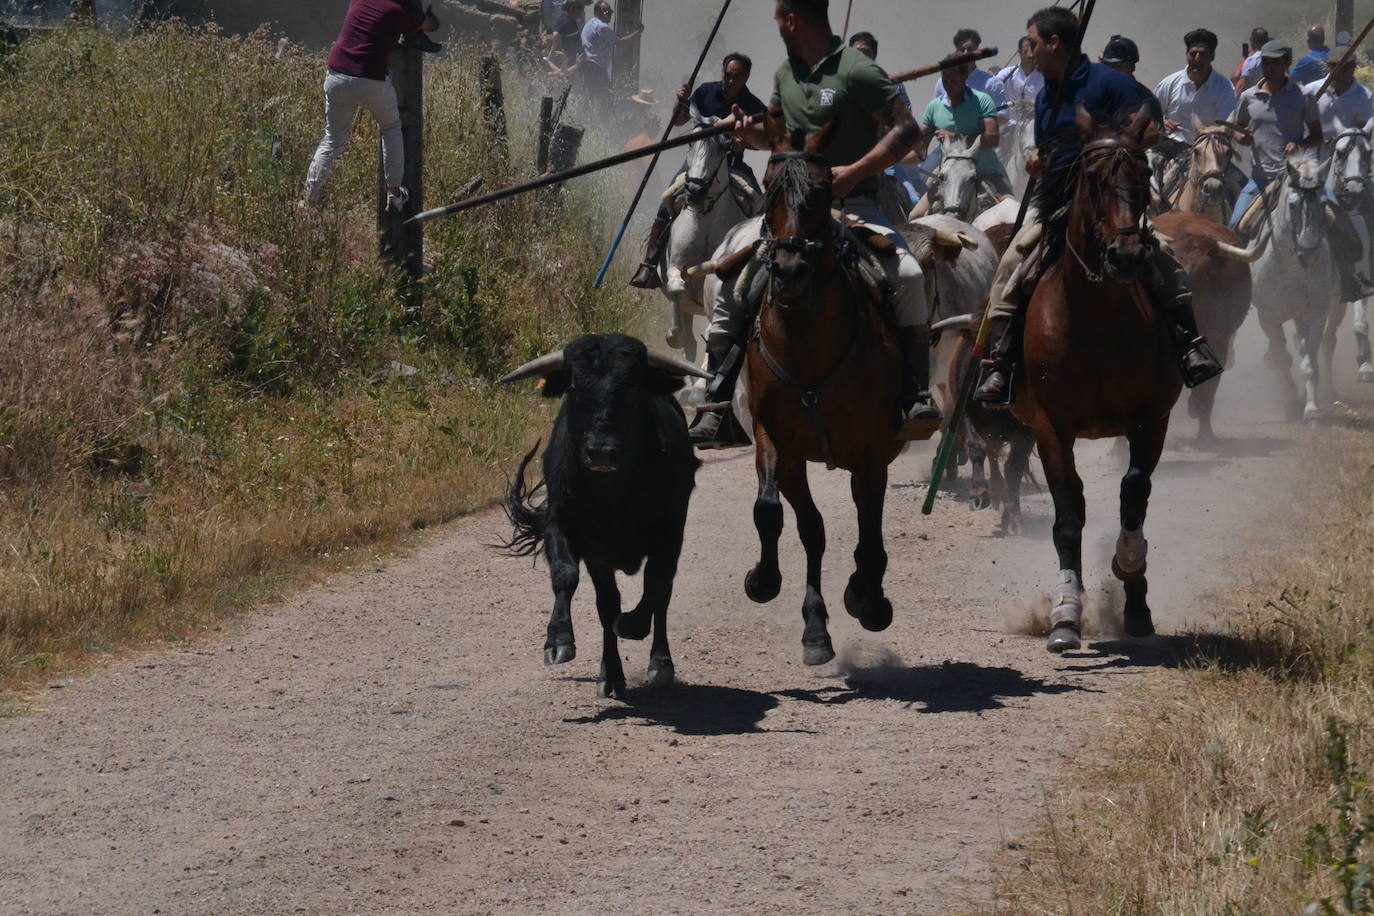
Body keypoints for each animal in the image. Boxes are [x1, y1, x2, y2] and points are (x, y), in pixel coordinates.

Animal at [500, 333, 708, 697]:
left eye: (633, 386)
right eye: (573, 386)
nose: (602, 451)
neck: (612, 494)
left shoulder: (670, 529)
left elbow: (655, 585)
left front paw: (633, 626)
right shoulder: (567, 528)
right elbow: (568, 578)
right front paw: (558, 642)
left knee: (661, 596)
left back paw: (660, 664)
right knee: (607, 603)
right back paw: (611, 675)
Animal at [659, 116, 758, 368]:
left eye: (721, 148)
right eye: (690, 145)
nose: (694, 190)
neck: (705, 217)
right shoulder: (676, 265)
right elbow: (676, 288)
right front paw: (673, 335)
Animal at [747, 130, 906, 667]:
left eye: (820, 197)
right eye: (770, 194)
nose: (789, 271)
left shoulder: (872, 453)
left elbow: (871, 534)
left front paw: (870, 601)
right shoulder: (775, 439)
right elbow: (774, 513)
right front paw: (765, 582)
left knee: (864, 530)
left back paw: (863, 593)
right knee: (817, 529)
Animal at [1011, 107, 1181, 650]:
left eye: (1144, 174)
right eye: (1091, 177)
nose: (1126, 256)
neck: (1094, 320)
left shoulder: (1152, 418)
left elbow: (1134, 492)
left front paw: (1131, 578)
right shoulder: (1050, 427)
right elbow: (1068, 518)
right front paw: (1065, 616)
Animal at [1253, 156, 1335, 422]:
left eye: (1323, 203)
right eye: (1292, 205)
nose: (1309, 253)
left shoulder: (1316, 314)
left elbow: (1309, 362)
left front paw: (1312, 410)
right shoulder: (1267, 316)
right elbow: (1281, 356)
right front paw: (1290, 400)